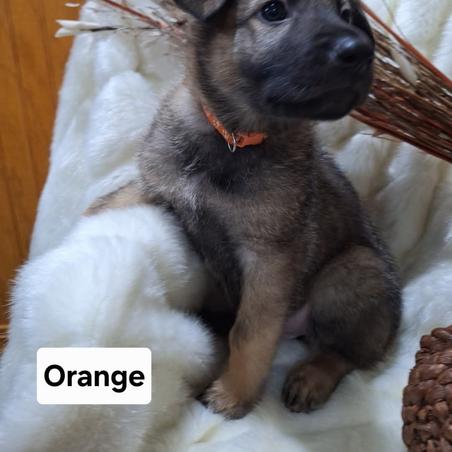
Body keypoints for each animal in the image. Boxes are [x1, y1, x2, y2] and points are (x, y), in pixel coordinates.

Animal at [94, 0, 402, 419]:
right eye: (272, 11)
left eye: (346, 13)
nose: (361, 51)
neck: (233, 138)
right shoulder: (158, 187)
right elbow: (119, 197)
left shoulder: (269, 257)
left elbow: (250, 331)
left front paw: (233, 393)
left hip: (353, 271)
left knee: (348, 354)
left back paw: (311, 378)